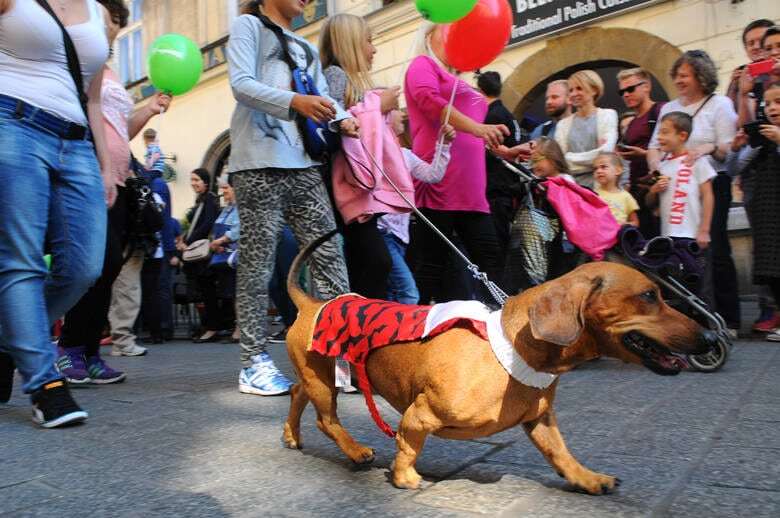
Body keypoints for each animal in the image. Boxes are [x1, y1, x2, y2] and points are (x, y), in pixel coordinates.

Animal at [284, 233, 716, 496]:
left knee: (296, 392)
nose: (711, 339)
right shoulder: (418, 416)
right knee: (327, 420)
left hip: (316, 376)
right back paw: (356, 450)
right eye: (649, 296)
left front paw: (588, 479)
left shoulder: (540, 420)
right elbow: (407, 445)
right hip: (324, 380)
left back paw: (291, 435)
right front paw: (405, 477)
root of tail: (310, 302)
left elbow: (561, 454)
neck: (510, 349)